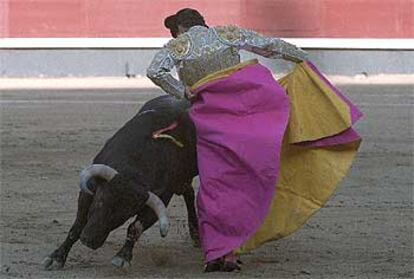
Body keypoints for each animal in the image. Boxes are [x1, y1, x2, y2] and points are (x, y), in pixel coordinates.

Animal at [41, 95, 199, 270]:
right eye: (100, 201)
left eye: (124, 215)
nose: (89, 240)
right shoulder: (89, 190)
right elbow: (78, 224)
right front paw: (56, 257)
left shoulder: (161, 198)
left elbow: (135, 227)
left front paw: (122, 257)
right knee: (188, 191)